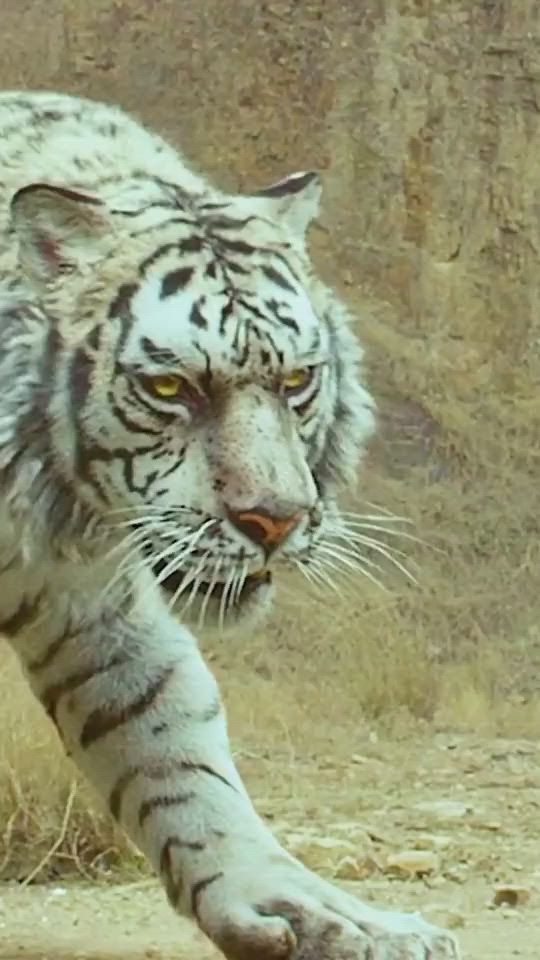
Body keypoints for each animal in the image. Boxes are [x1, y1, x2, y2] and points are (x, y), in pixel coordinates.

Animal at [0, 92, 460, 960]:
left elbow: (164, 728)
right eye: (170, 387)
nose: (273, 521)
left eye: (297, 379)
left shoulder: (86, 589)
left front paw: (310, 911)